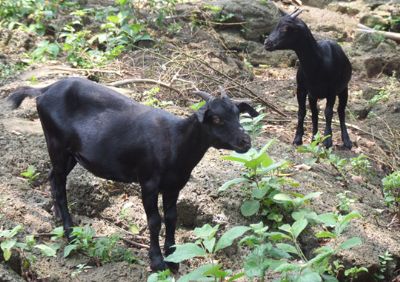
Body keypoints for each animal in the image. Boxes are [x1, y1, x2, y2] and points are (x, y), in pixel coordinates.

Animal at [8, 77, 260, 270]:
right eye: (215, 118)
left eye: (238, 114)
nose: (245, 141)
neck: (175, 142)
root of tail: (44, 90)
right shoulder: (148, 182)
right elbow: (154, 221)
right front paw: (157, 262)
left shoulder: (174, 185)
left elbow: (172, 218)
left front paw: (173, 258)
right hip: (56, 144)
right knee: (60, 185)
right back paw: (69, 232)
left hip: (70, 154)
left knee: (53, 177)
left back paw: (58, 216)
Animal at [266, 9, 354, 150]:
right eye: (276, 25)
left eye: (286, 28)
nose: (267, 43)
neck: (318, 64)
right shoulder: (302, 89)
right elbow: (302, 112)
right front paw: (298, 138)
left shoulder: (331, 91)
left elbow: (328, 112)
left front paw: (327, 141)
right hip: (313, 95)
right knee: (314, 113)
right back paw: (314, 138)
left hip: (343, 89)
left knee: (341, 111)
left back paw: (346, 141)